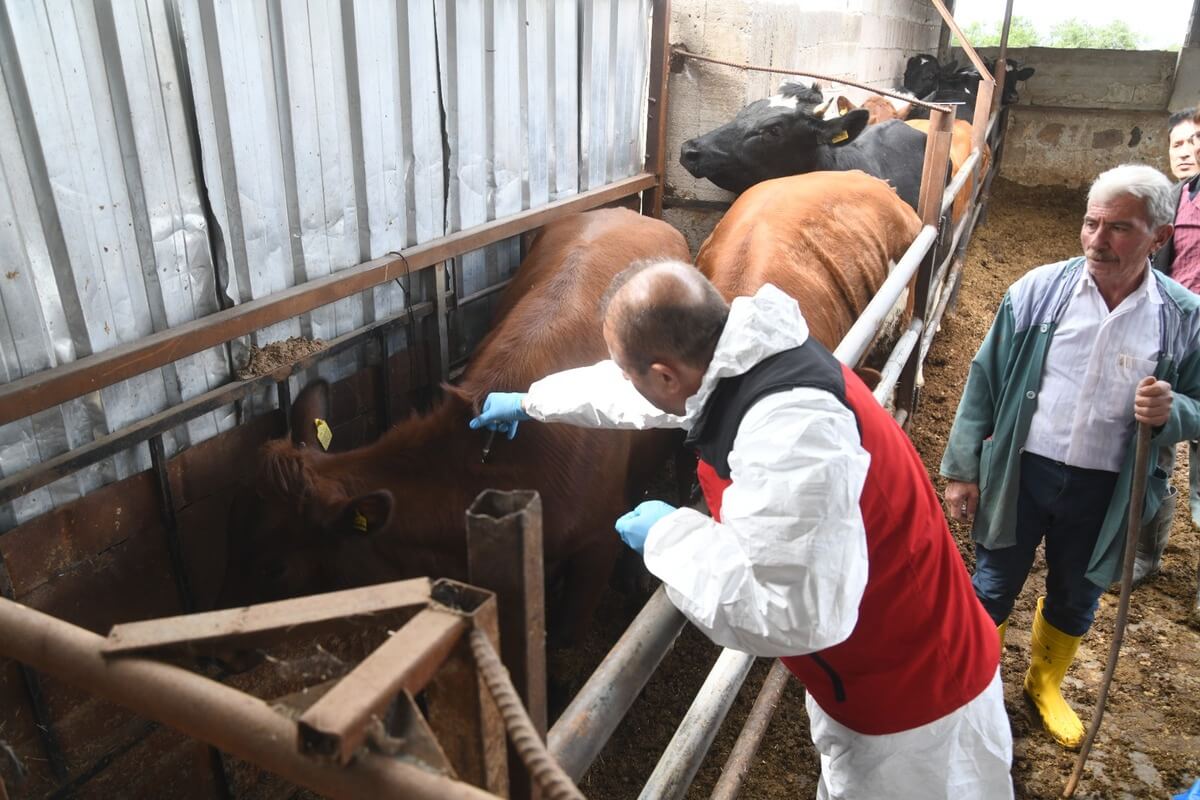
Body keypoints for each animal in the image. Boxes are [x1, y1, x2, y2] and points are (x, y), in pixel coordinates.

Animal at [220, 208, 691, 642]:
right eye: (236, 529)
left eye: (273, 568)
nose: (219, 657)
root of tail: (628, 213)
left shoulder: (596, 545)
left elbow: (564, 640)